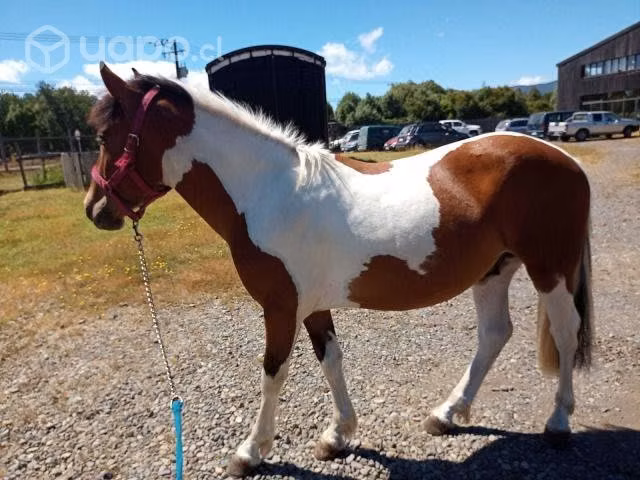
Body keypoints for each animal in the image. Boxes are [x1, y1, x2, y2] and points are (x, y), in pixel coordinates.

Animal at [84, 63, 592, 477]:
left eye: (106, 138)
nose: (95, 209)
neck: (270, 191)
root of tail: (567, 160)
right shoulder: (310, 306)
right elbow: (330, 360)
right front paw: (338, 435)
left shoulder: (281, 308)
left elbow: (273, 372)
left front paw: (251, 451)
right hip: (494, 270)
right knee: (494, 335)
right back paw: (446, 414)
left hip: (549, 268)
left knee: (566, 331)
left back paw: (558, 422)